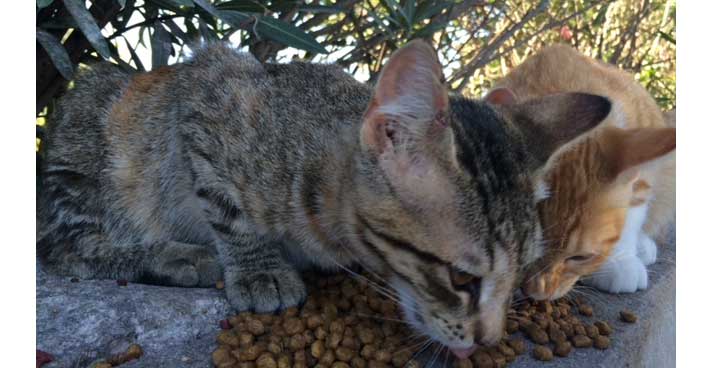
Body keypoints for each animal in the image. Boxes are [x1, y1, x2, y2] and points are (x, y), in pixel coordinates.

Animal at [38, 40, 612, 354]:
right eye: (461, 279)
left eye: (519, 276)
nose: (490, 341)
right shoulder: (209, 88)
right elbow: (229, 208)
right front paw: (260, 269)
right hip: (87, 145)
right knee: (66, 249)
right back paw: (176, 256)